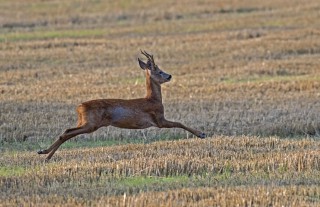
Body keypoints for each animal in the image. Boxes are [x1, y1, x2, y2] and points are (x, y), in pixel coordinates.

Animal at [37, 50, 206, 160]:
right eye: (158, 71)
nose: (169, 76)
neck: (153, 99)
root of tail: (79, 107)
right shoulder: (159, 119)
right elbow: (179, 123)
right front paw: (201, 134)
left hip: (86, 122)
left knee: (67, 131)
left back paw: (44, 153)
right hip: (91, 124)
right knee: (67, 132)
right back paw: (46, 155)